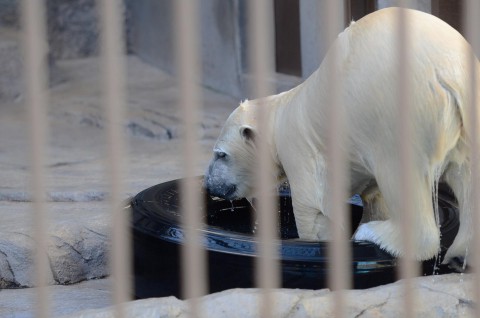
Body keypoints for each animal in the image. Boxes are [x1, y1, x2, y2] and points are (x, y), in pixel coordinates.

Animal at [202, 6, 476, 264]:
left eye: (220, 154)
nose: (209, 184)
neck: (278, 115)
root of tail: (445, 73)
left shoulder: (298, 146)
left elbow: (312, 207)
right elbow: (374, 198)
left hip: (394, 113)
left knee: (400, 172)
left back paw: (374, 234)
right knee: (467, 176)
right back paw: (462, 253)